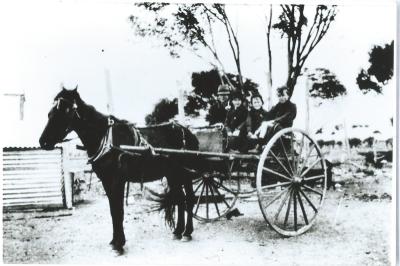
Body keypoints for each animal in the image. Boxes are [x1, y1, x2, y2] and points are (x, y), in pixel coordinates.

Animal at [39, 87, 198, 251]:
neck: (107, 140)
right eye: (50, 113)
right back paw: (178, 231)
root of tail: (188, 133)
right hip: (173, 175)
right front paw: (114, 241)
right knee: (180, 199)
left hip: (185, 174)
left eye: (64, 111)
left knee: (189, 199)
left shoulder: (117, 181)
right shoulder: (106, 181)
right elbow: (113, 211)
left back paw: (187, 232)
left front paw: (119, 244)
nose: (43, 142)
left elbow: (118, 211)